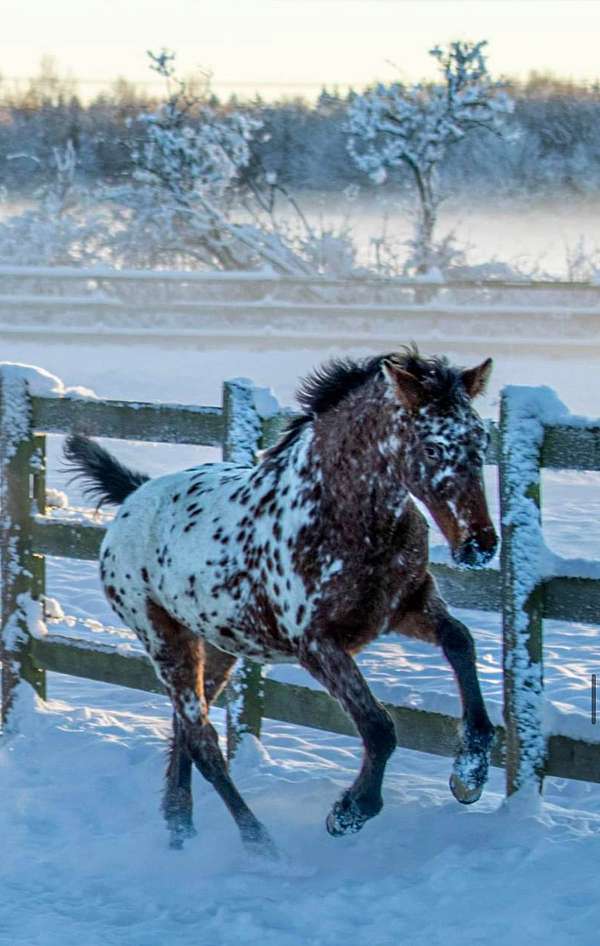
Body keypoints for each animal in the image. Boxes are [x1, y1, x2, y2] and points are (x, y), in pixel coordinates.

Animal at [64, 347, 497, 857]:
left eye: (482, 440)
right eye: (432, 448)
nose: (479, 545)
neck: (342, 519)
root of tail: (133, 497)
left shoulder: (406, 607)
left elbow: (460, 641)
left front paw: (469, 774)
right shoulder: (317, 644)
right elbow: (378, 726)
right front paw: (349, 812)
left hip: (217, 646)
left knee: (185, 731)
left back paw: (181, 831)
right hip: (164, 640)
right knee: (204, 740)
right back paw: (259, 845)